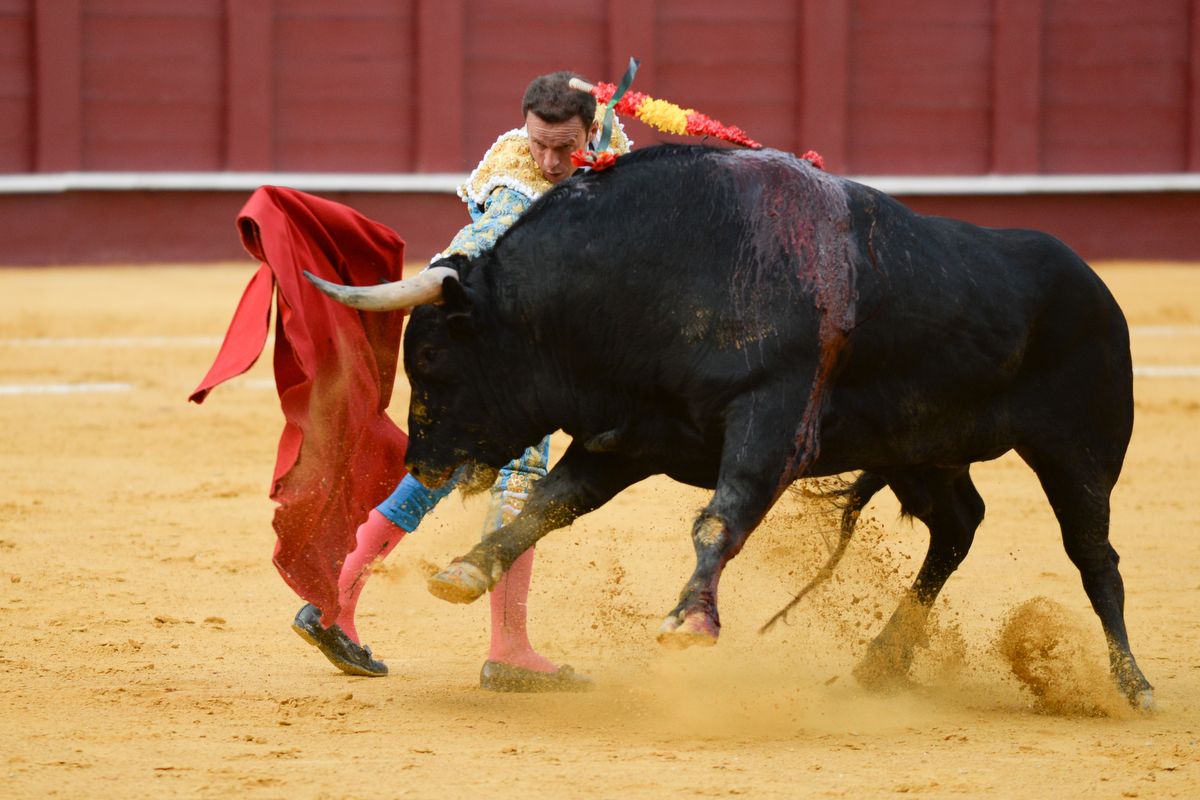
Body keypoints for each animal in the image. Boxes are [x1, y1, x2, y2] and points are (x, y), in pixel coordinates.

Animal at [309, 143, 1152, 705]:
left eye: (434, 356)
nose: (422, 463)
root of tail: (1094, 284)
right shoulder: (630, 435)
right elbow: (552, 503)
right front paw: (466, 568)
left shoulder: (771, 420)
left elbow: (721, 516)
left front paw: (690, 620)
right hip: (923, 449)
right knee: (958, 525)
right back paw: (881, 662)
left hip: (1080, 452)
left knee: (1096, 557)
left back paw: (1130, 682)